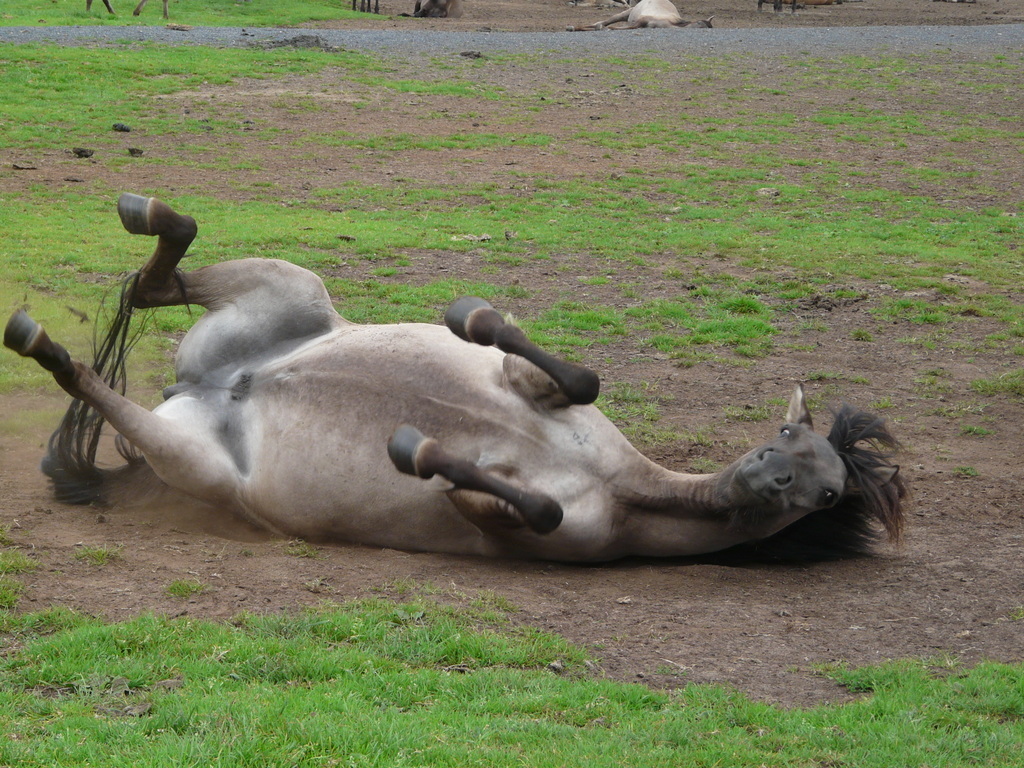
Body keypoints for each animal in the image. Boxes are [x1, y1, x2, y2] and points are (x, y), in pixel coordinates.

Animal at [6, 195, 905, 561]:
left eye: (828, 492)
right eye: (782, 432)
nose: (770, 471)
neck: (624, 489)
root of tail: (201, 390)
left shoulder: (524, 523)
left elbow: (529, 502)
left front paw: (417, 449)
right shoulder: (532, 384)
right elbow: (574, 374)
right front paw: (469, 313)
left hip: (195, 461)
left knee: (94, 367)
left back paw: (39, 339)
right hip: (296, 289)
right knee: (160, 275)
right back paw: (145, 218)